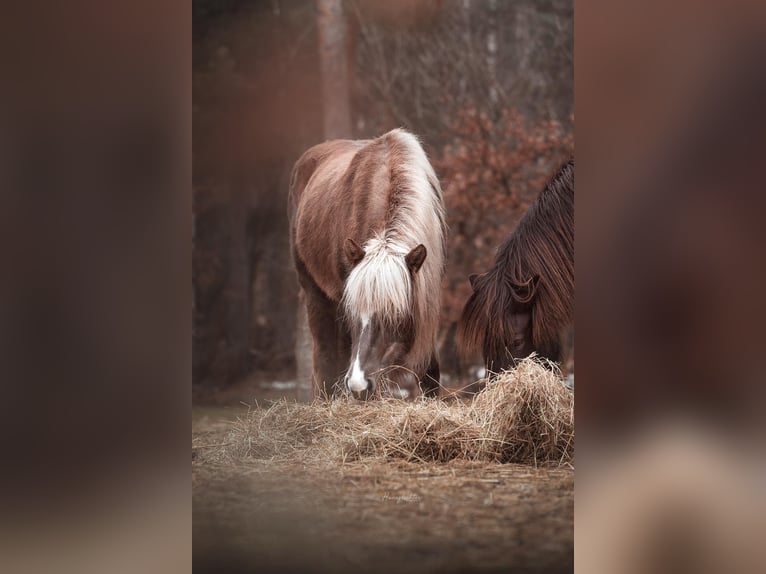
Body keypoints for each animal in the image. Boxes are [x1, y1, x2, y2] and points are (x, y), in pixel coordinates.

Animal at [288, 129, 448, 400]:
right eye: (354, 311)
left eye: (395, 314)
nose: (359, 385)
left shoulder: (427, 302)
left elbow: (430, 376)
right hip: (315, 294)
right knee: (325, 362)